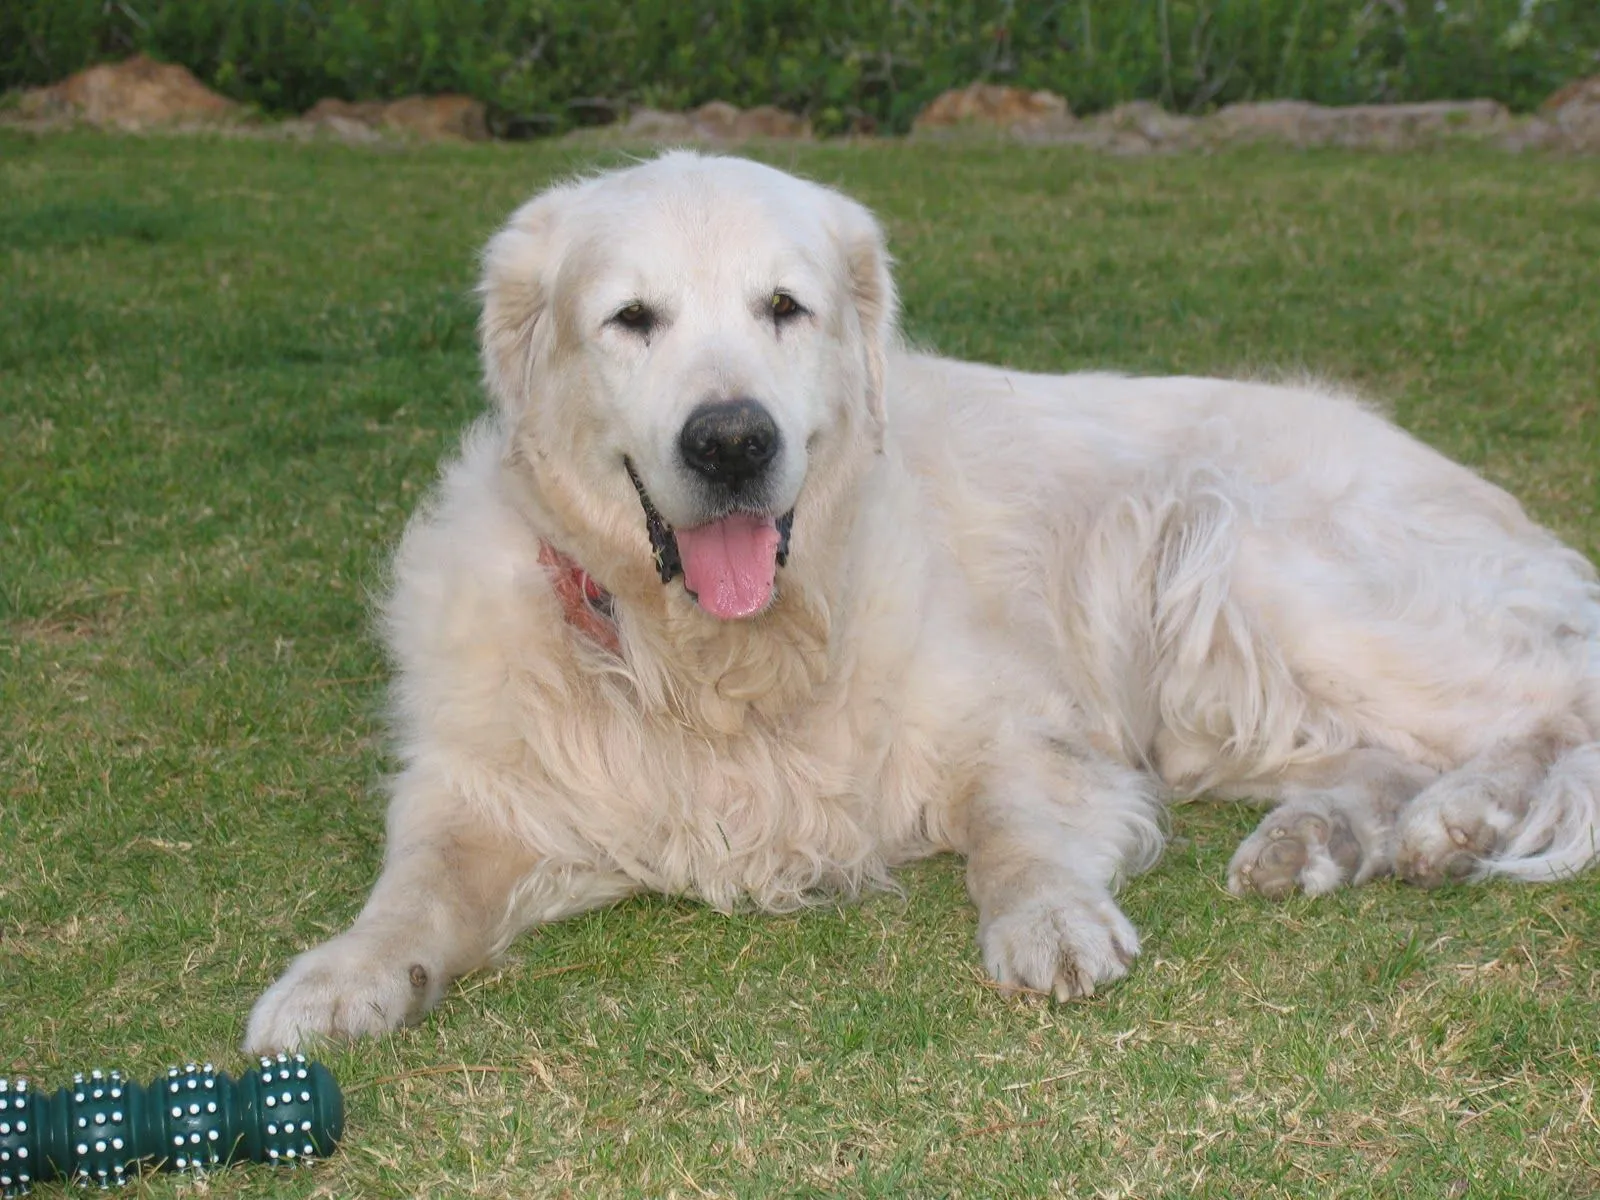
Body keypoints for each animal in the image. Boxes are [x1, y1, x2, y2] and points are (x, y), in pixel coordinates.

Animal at [240, 150, 1600, 1049]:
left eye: (785, 308)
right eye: (630, 319)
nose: (730, 440)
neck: (720, 659)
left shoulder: (1021, 731)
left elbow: (1011, 827)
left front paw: (1048, 920)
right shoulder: (481, 789)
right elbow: (414, 886)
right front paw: (336, 978)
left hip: (1246, 553)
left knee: (1548, 704)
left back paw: (1451, 822)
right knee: (1394, 747)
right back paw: (1330, 837)